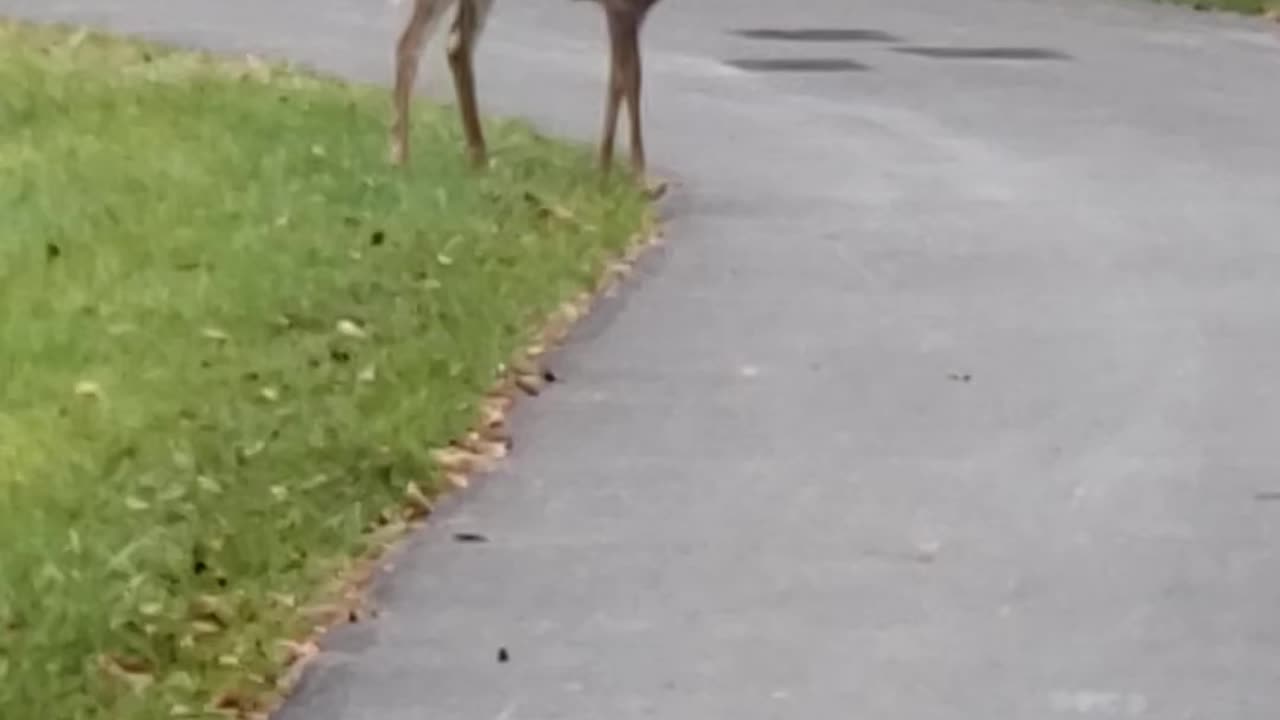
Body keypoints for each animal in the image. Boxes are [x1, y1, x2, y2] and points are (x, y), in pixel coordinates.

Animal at [386, 0, 660, 193]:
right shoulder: (622, 7)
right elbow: (631, 79)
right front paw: (637, 178)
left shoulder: (630, 12)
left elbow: (619, 81)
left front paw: (606, 170)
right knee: (414, 43)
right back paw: (401, 156)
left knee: (453, 44)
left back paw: (477, 156)